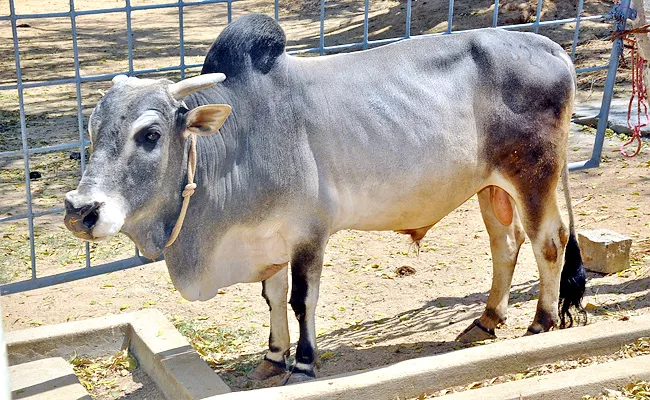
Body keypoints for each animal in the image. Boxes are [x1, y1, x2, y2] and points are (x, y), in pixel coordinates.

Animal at [63, 14, 584, 384]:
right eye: (92, 129)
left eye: (150, 135)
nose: (80, 211)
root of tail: (549, 46)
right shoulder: (267, 240)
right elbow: (272, 298)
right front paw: (274, 357)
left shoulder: (307, 234)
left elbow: (301, 300)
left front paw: (303, 364)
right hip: (491, 188)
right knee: (506, 245)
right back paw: (487, 320)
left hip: (533, 175)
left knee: (549, 242)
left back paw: (540, 322)